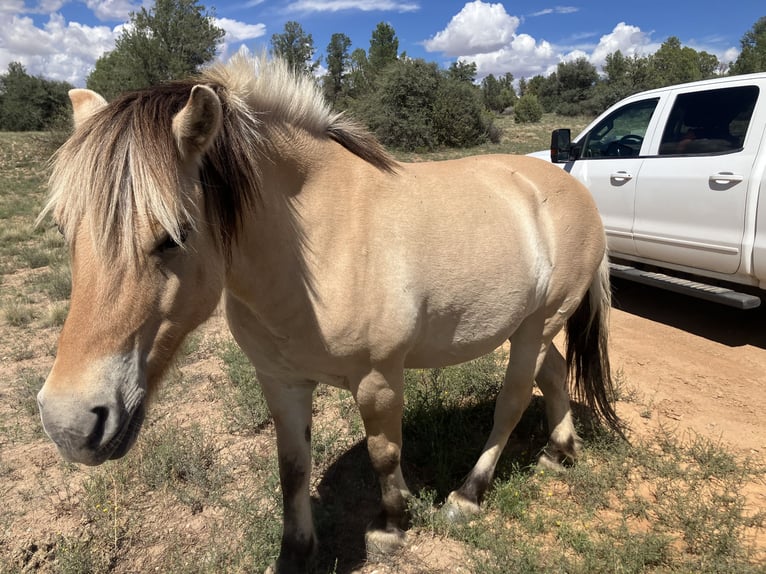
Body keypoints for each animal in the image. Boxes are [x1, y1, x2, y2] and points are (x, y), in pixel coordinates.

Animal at [36, 54, 620, 573]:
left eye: (173, 236)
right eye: (64, 230)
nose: (69, 424)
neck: (319, 244)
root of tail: (571, 187)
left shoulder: (378, 378)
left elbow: (384, 452)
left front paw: (392, 527)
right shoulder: (281, 381)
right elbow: (292, 467)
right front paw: (296, 554)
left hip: (536, 326)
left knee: (513, 401)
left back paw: (468, 495)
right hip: (529, 327)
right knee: (554, 374)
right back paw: (559, 452)